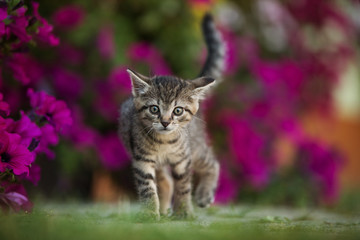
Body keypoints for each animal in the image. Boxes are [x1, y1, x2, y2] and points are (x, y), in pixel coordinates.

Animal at [118, 14, 225, 218]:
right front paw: (150, 213)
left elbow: (183, 185)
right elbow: (147, 188)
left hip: (196, 147)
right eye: (154, 109)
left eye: (178, 110)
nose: (166, 122)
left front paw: (183, 211)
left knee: (213, 163)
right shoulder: (142, 160)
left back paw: (204, 194)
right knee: (165, 181)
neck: (164, 143)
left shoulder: (183, 159)